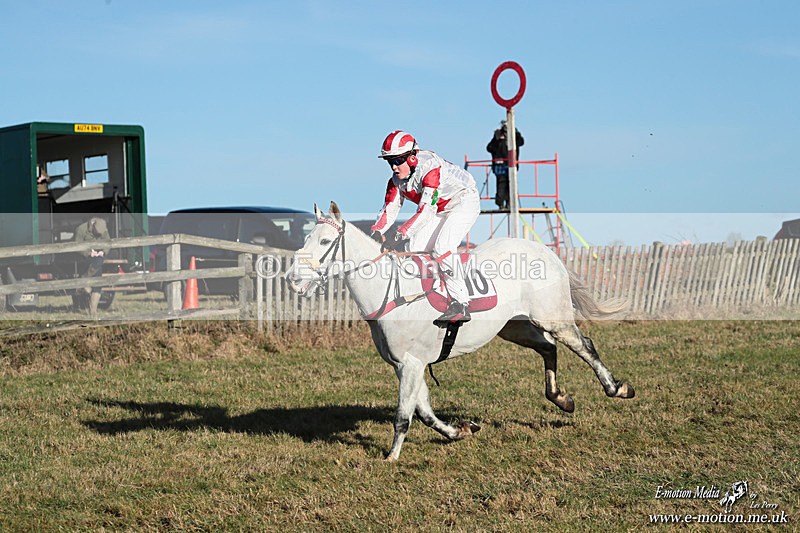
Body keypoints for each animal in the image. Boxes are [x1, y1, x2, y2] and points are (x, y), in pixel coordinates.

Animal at [286, 202, 635, 461]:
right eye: (305, 239)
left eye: (325, 241)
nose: (293, 279)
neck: (392, 295)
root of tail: (546, 251)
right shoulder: (406, 365)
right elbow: (424, 411)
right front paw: (461, 431)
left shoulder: (411, 364)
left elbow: (404, 414)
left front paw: (391, 457)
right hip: (514, 327)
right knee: (549, 348)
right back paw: (561, 398)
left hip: (552, 317)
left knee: (584, 345)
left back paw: (616, 388)